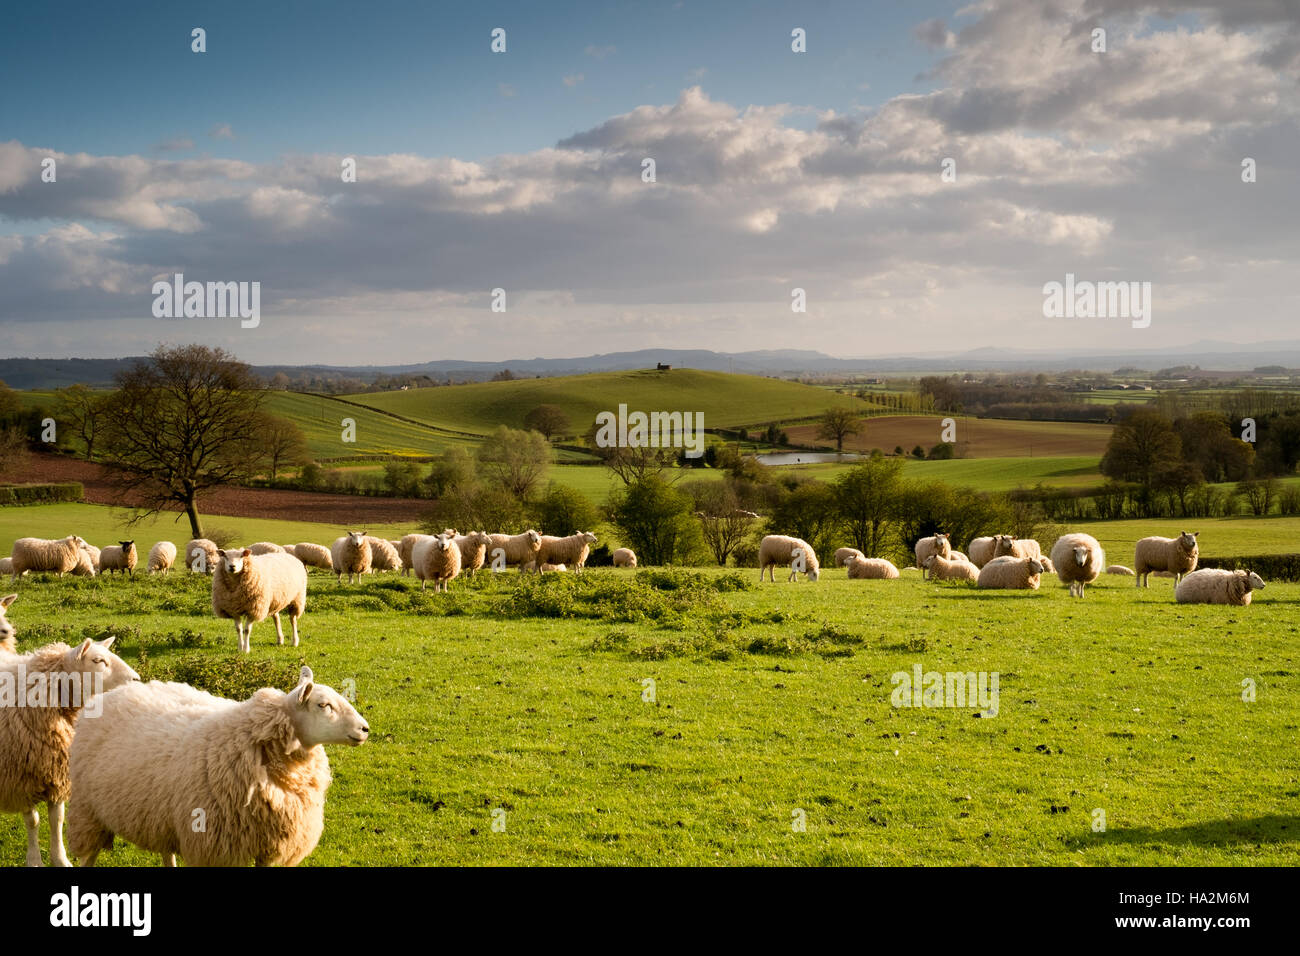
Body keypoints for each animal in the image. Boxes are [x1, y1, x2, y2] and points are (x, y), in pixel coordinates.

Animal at [0, 639, 139, 868]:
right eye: (98, 660)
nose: (137, 680)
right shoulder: (22, 778)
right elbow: (33, 821)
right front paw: (34, 860)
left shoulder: (57, 773)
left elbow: (57, 820)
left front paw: (60, 859)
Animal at [69, 665, 369, 868]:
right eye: (323, 705)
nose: (365, 729)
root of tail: (113, 693)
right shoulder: (214, 845)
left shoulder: (271, 845)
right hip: (88, 812)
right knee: (88, 856)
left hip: (161, 816)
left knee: (167, 852)